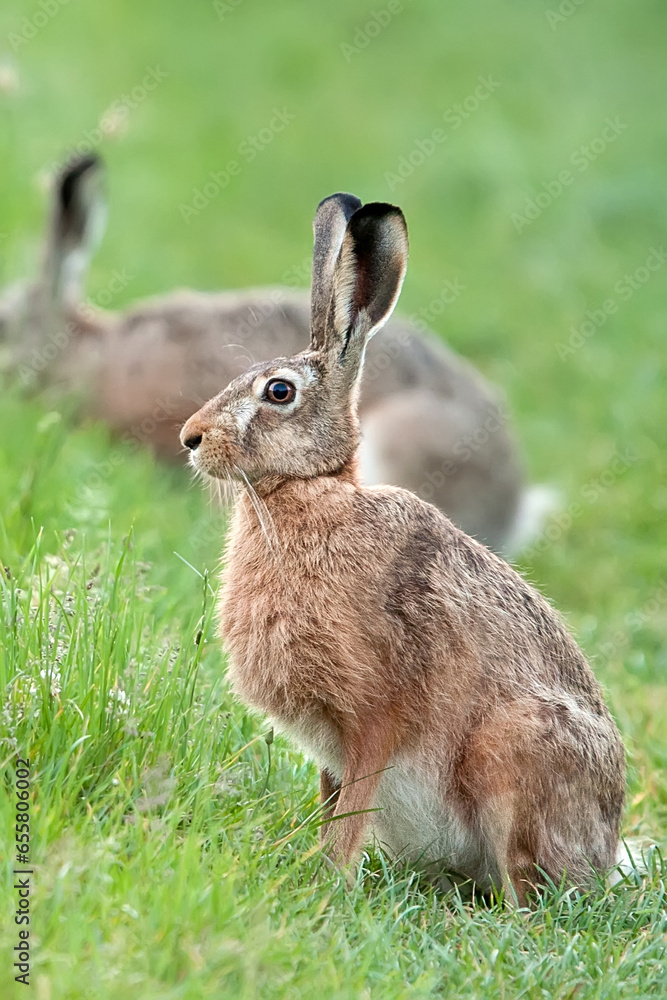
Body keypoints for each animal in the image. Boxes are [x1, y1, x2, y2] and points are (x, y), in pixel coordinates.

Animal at [179, 195, 626, 904]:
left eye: (279, 392)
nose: (190, 438)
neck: (315, 489)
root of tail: (604, 855)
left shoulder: (373, 716)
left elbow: (351, 812)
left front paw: (326, 883)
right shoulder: (330, 748)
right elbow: (331, 804)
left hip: (515, 747)